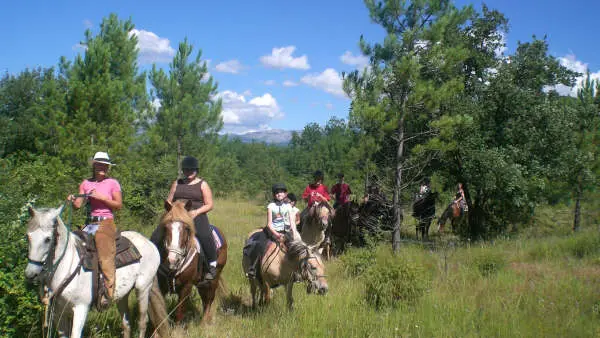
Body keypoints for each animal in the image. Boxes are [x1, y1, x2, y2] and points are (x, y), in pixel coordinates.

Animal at [23, 206, 169, 338]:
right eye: (27, 237)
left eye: (47, 239)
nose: (31, 274)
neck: (68, 265)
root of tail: (149, 242)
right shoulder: (59, 313)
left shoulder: (81, 308)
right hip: (123, 294)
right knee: (126, 324)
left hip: (143, 288)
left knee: (142, 322)